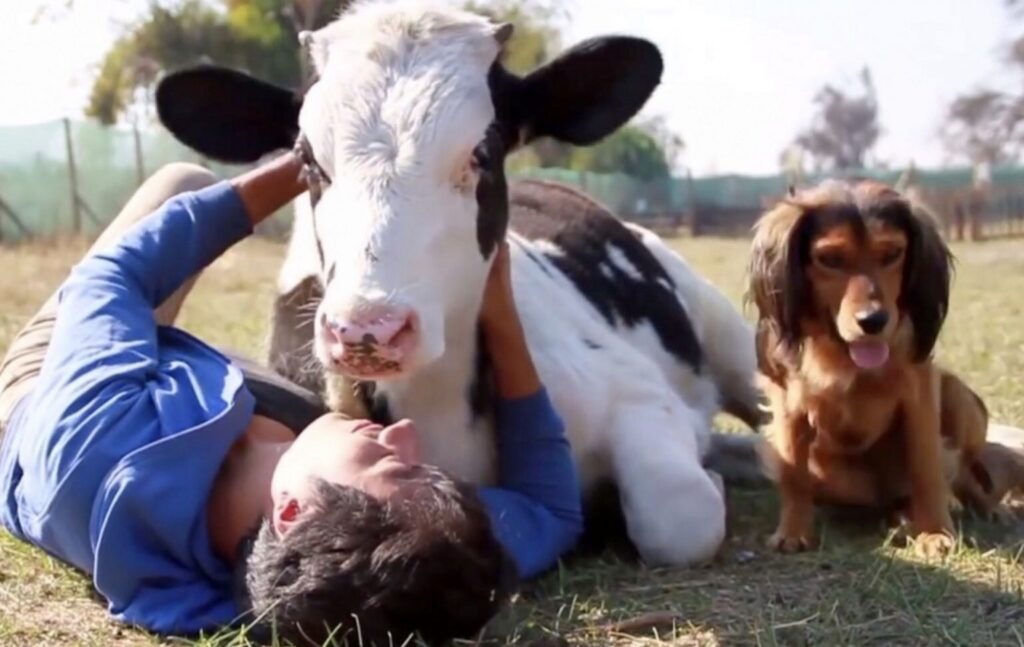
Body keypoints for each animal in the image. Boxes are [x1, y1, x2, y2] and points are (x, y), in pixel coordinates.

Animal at [749, 177, 1011, 556]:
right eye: (829, 259)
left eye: (891, 254)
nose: (873, 321)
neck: (845, 355)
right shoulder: (787, 404)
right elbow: (794, 474)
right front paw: (793, 531)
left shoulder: (921, 394)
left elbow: (927, 468)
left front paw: (935, 532)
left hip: (959, 399)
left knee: (960, 471)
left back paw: (982, 509)